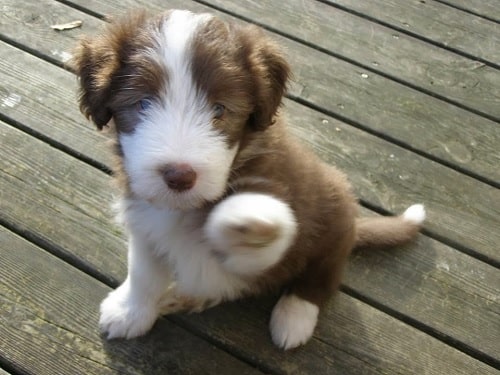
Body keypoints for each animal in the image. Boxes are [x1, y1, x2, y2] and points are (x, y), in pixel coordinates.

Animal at [71, 10, 426, 352]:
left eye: (220, 109)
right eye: (142, 103)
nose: (179, 175)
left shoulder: (267, 246)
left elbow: (254, 250)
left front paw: (245, 220)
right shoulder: (145, 223)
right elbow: (143, 273)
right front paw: (130, 312)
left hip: (333, 218)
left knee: (322, 276)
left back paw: (293, 316)